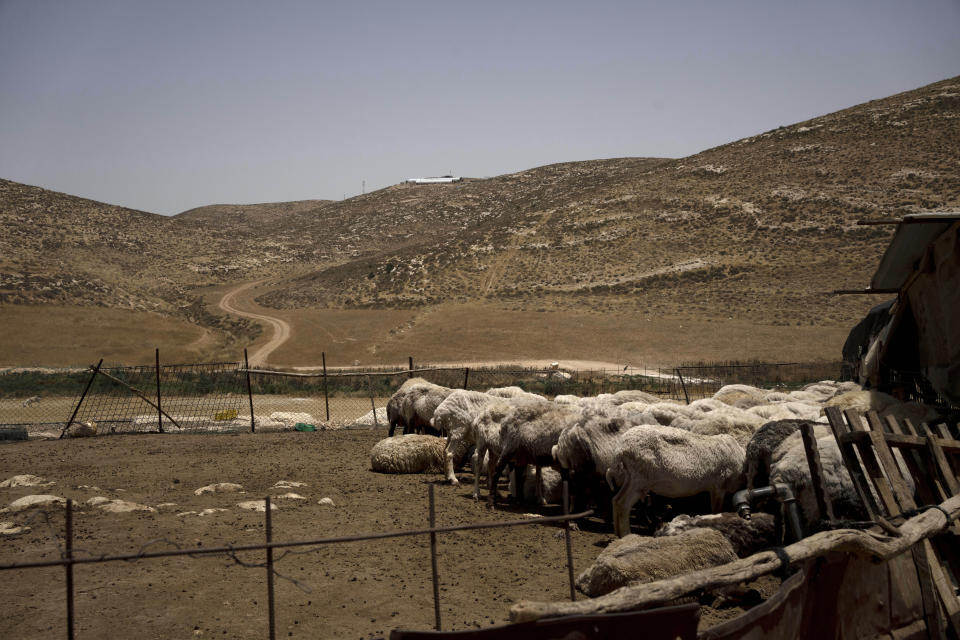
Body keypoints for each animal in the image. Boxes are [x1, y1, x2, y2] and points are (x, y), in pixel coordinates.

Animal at [604, 428, 748, 536]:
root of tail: (620, 450)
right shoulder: (719, 487)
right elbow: (716, 510)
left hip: (631, 477)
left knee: (616, 500)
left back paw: (617, 534)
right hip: (640, 479)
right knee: (623, 504)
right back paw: (626, 534)